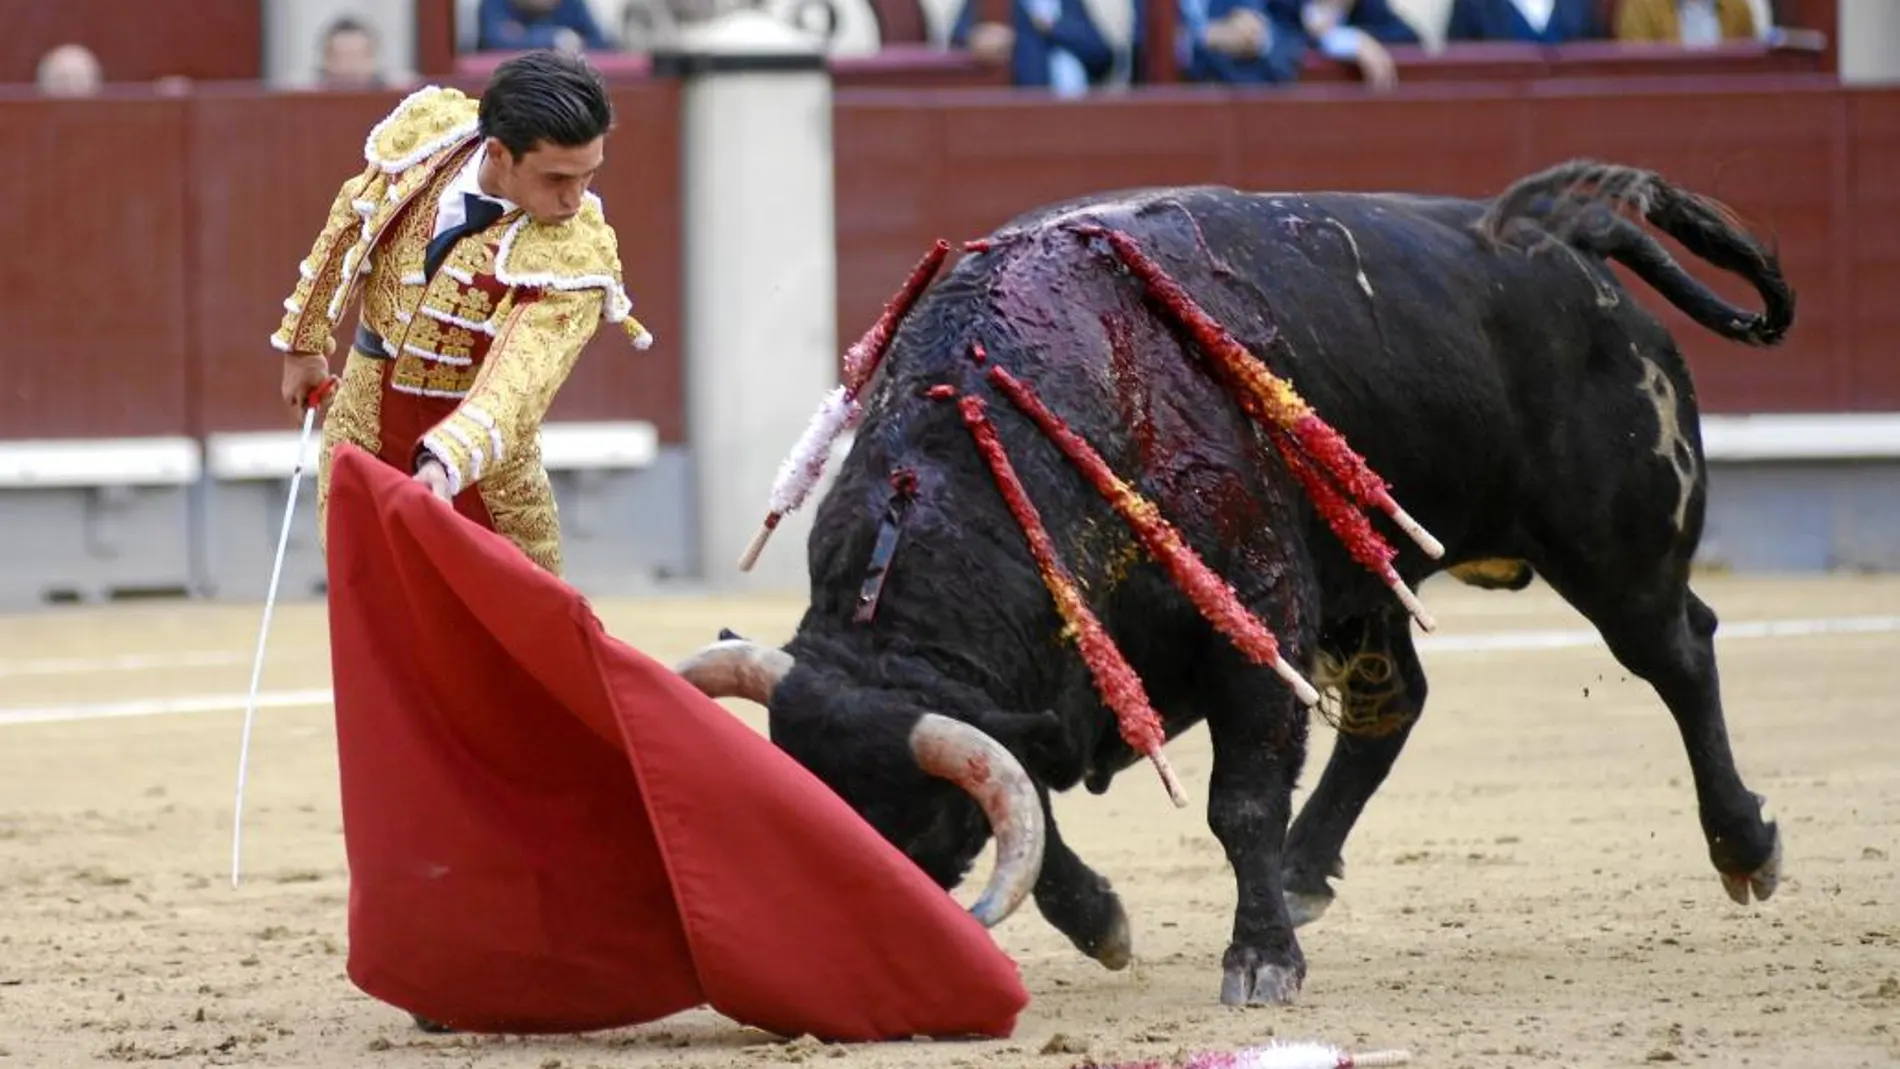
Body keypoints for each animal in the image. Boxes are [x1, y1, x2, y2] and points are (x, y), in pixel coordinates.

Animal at [672, 163, 1793, 1010]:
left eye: (897, 833)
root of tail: (1565, 239)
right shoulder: (1051, 692)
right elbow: (1033, 803)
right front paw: (1108, 921)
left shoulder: (1259, 627)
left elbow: (1238, 800)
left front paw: (1259, 960)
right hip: (1364, 587)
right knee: (1394, 705)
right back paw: (1303, 873)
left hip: (1618, 548)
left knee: (1679, 654)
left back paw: (1743, 847)